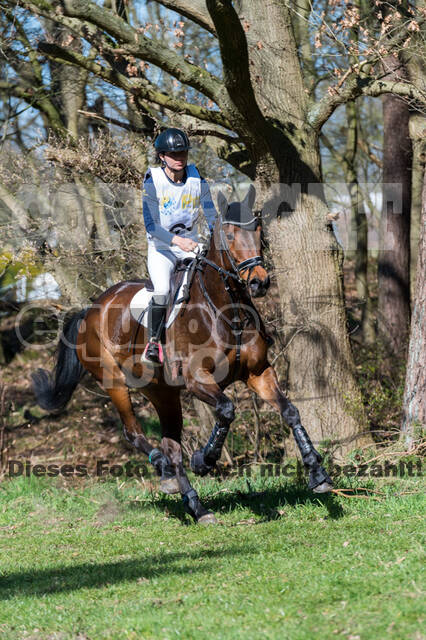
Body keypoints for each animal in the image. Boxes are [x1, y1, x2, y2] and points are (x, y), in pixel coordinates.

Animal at [33, 182, 332, 524]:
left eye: (257, 229)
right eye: (229, 234)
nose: (259, 282)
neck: (226, 311)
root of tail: (90, 309)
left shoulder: (258, 373)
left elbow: (290, 411)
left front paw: (318, 474)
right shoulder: (197, 379)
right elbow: (226, 410)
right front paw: (205, 459)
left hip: (162, 392)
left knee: (172, 445)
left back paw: (195, 506)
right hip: (114, 382)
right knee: (134, 433)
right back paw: (167, 475)